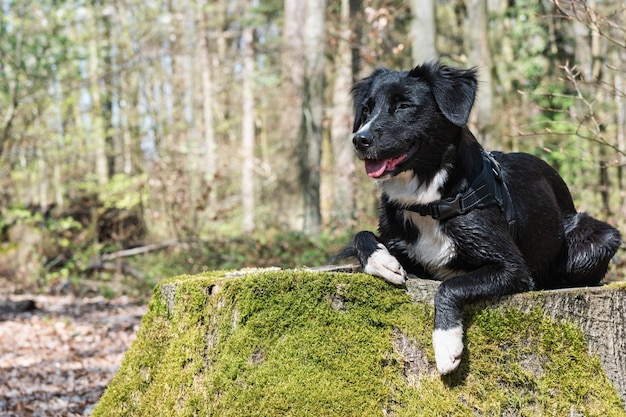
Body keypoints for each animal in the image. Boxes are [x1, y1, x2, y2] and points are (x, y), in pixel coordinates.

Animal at [346, 61, 620, 374]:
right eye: (366, 110)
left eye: (404, 105)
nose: (359, 140)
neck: (429, 201)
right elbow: (361, 235)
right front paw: (382, 261)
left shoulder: (512, 268)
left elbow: (451, 286)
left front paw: (446, 343)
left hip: (595, 242)